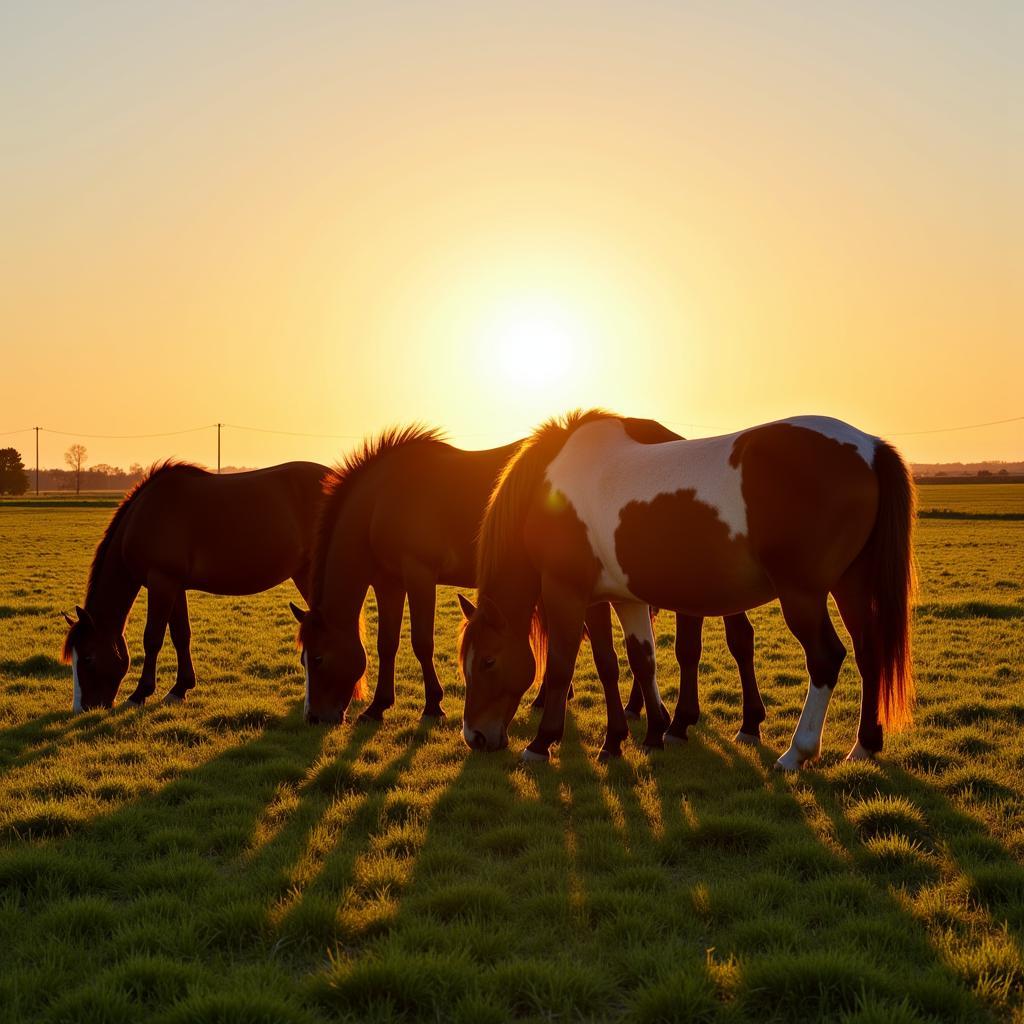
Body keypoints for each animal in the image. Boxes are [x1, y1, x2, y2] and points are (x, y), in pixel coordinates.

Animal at [61, 462, 325, 712]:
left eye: (87, 658)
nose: (82, 708)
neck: (145, 516)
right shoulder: (175, 587)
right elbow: (181, 635)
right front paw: (180, 689)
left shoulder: (161, 582)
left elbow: (152, 638)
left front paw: (139, 694)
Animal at [288, 419, 761, 757]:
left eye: (318, 657)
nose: (314, 717)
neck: (385, 494)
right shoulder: (388, 581)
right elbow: (387, 644)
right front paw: (377, 706)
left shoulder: (418, 573)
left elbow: (420, 642)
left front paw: (432, 705)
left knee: (719, 642)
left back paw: (717, 721)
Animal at [460, 407, 917, 770]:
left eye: (487, 661)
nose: (475, 737)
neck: (552, 484)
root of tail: (869, 448)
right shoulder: (620, 598)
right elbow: (635, 662)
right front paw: (639, 736)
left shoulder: (567, 593)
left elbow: (561, 664)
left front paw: (541, 743)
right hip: (850, 585)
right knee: (868, 653)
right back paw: (864, 745)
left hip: (802, 595)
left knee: (826, 658)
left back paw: (797, 752)